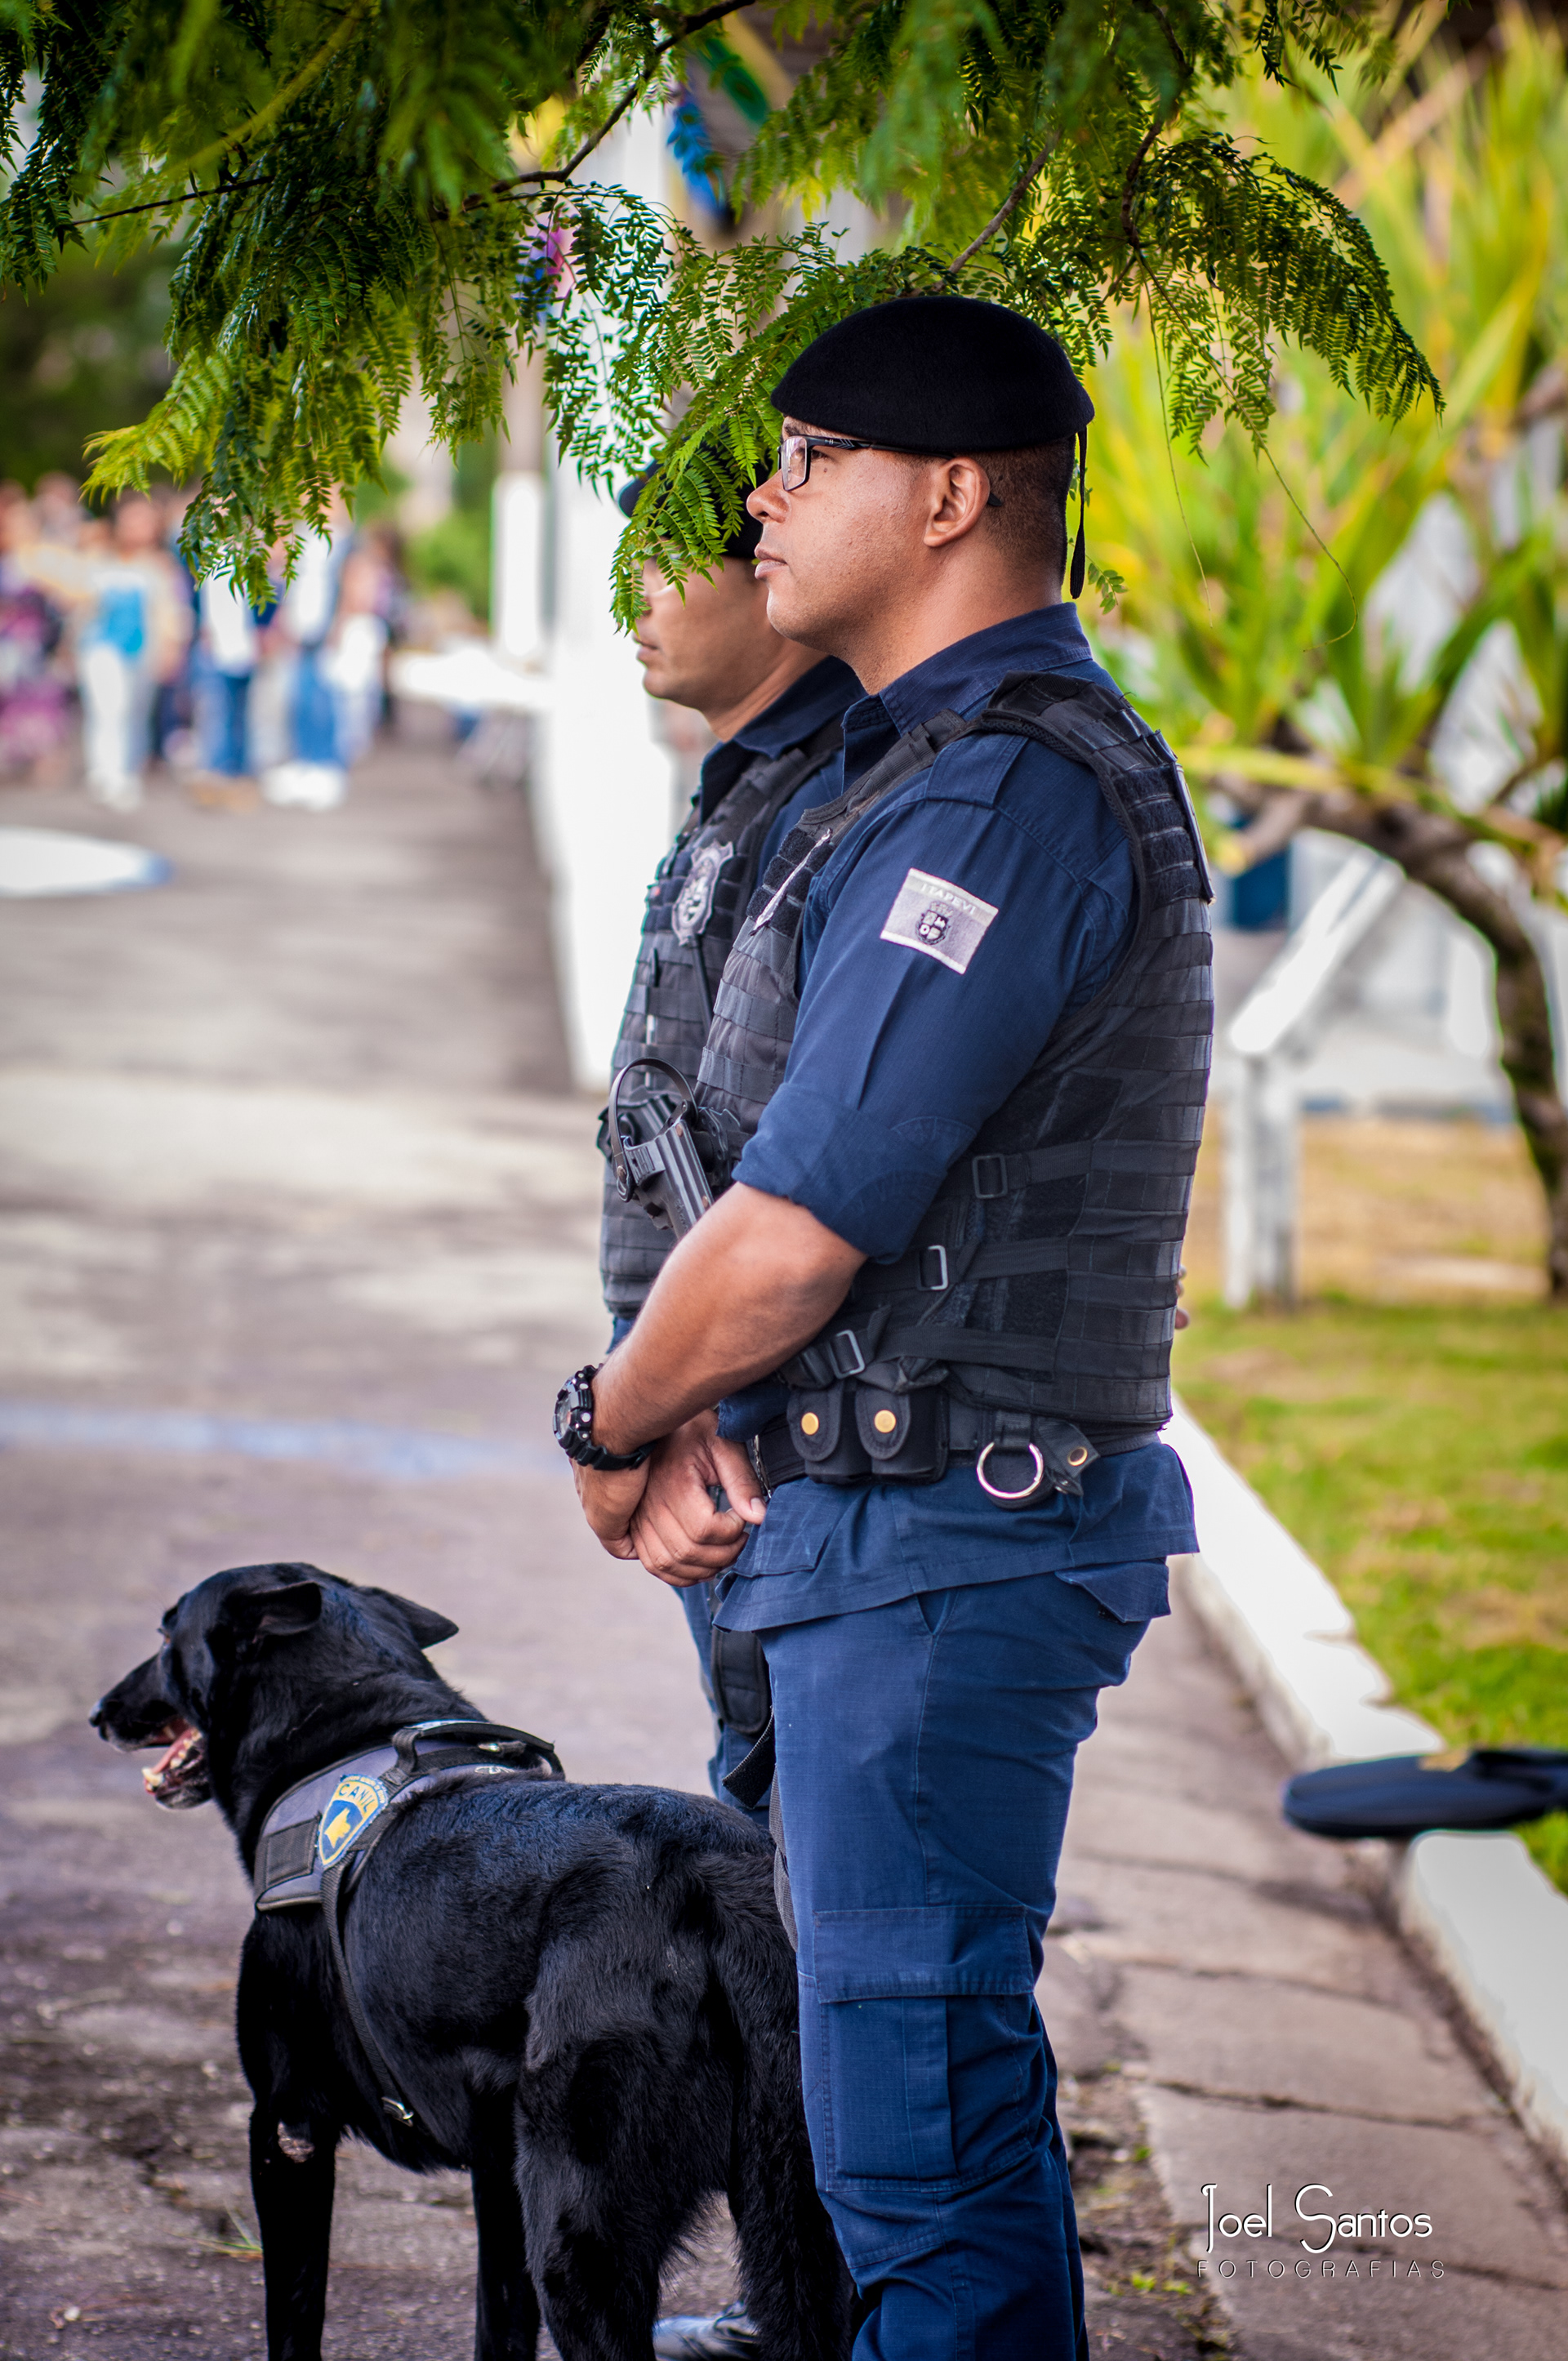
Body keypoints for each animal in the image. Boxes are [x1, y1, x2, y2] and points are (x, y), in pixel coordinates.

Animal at [88, 1567, 845, 2361]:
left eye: (165, 1636)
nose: (98, 1713)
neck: (344, 1729)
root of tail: (708, 1873)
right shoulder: (497, 2177)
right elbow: (499, 2325)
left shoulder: (288, 2127)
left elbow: (294, 2320)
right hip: (803, 2225)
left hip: (579, 2237)